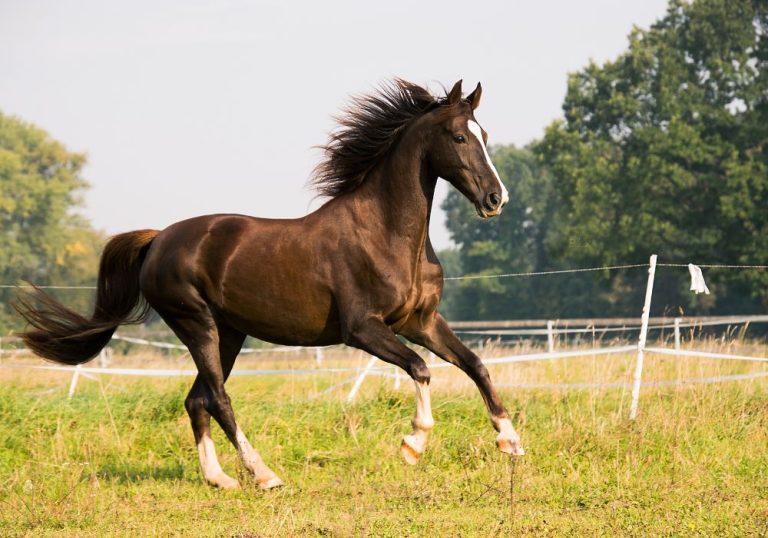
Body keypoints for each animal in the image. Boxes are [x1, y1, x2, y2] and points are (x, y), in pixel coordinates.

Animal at [15, 79, 525, 490]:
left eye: (484, 135)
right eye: (459, 136)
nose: (495, 199)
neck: (386, 233)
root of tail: (158, 239)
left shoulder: (421, 322)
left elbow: (475, 364)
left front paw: (511, 440)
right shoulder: (363, 329)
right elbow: (421, 369)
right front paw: (413, 444)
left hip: (229, 333)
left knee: (196, 400)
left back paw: (220, 479)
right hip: (197, 324)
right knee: (217, 398)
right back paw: (264, 475)